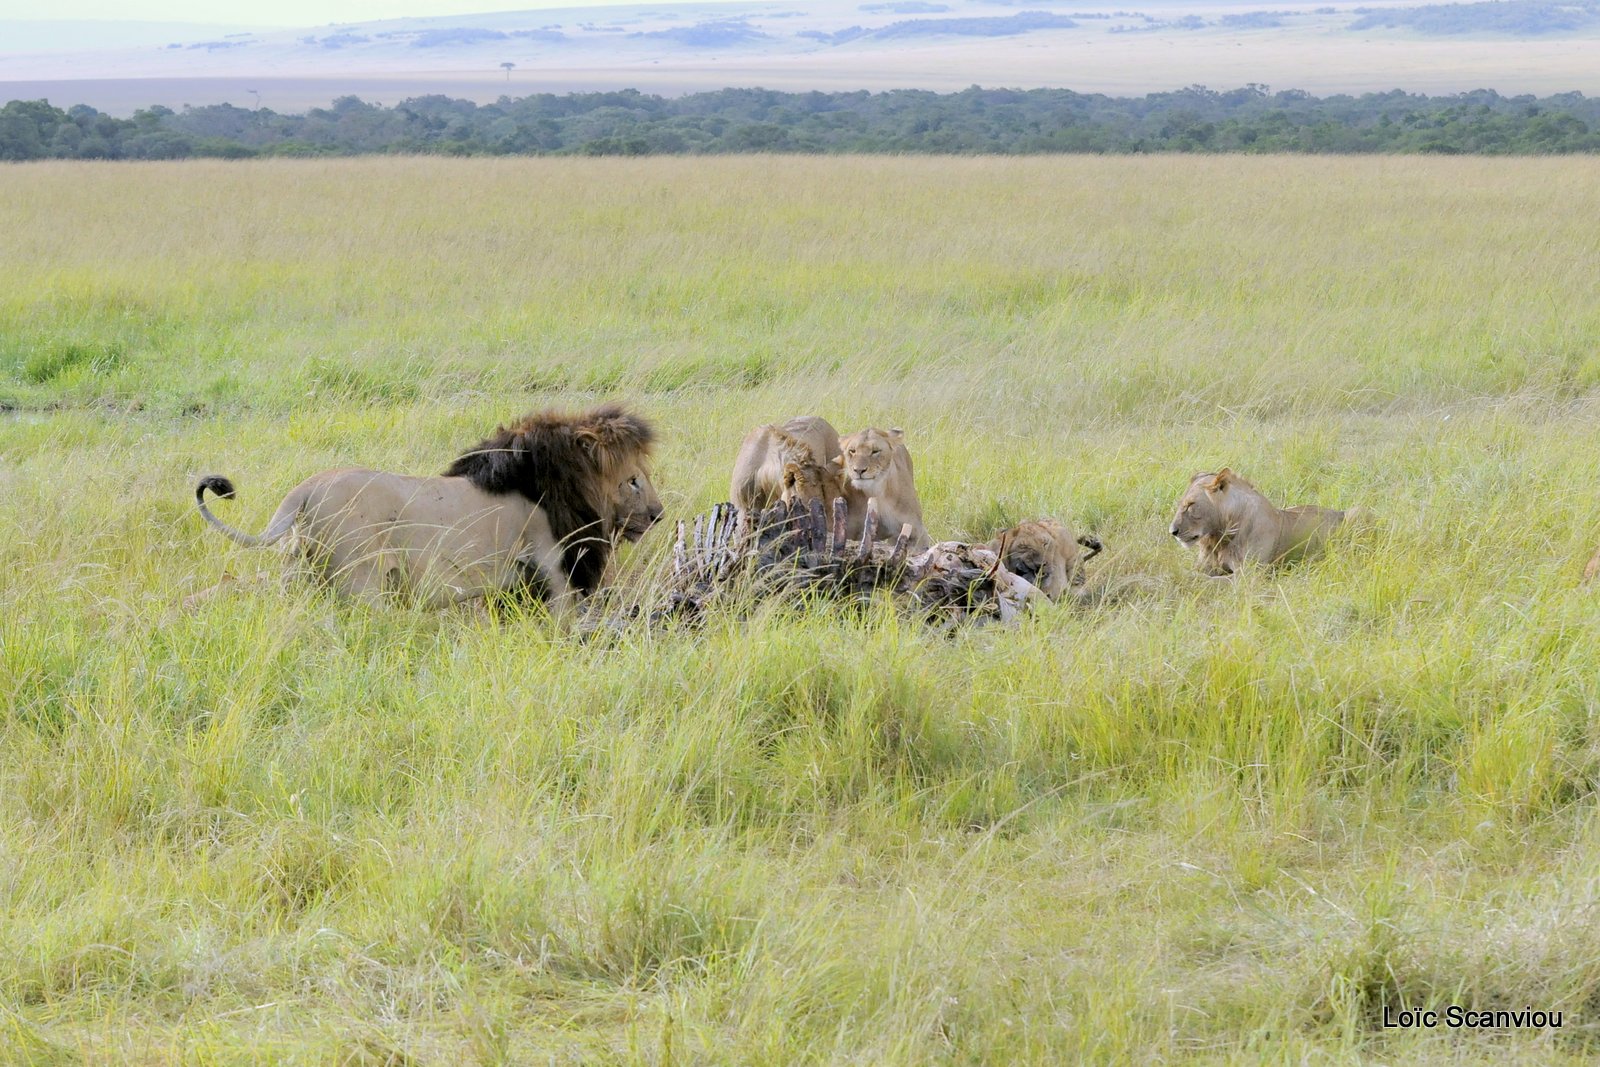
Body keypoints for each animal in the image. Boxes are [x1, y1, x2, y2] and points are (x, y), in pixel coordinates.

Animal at [195, 404, 662, 614]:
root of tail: (303, 491)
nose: (658, 513)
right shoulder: (554, 572)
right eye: (633, 480)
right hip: (363, 584)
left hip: (297, 576)